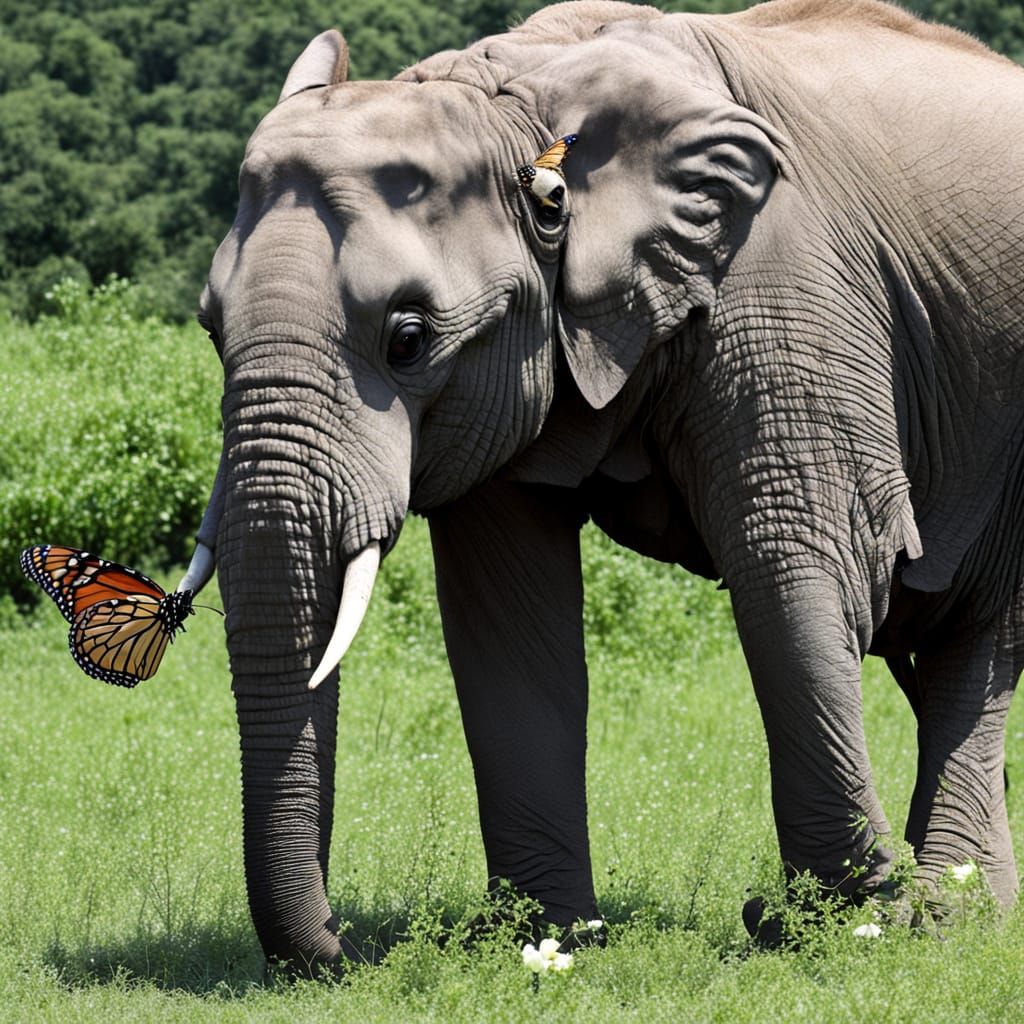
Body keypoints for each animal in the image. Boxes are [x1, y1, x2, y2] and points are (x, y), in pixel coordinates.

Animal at [177, 0, 1024, 974]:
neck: (515, 105)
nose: (347, 948)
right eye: (210, 329)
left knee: (976, 639)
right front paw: (546, 942)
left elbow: (801, 564)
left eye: (408, 338)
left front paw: (844, 925)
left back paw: (949, 916)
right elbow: (509, 620)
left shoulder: (785, 287)